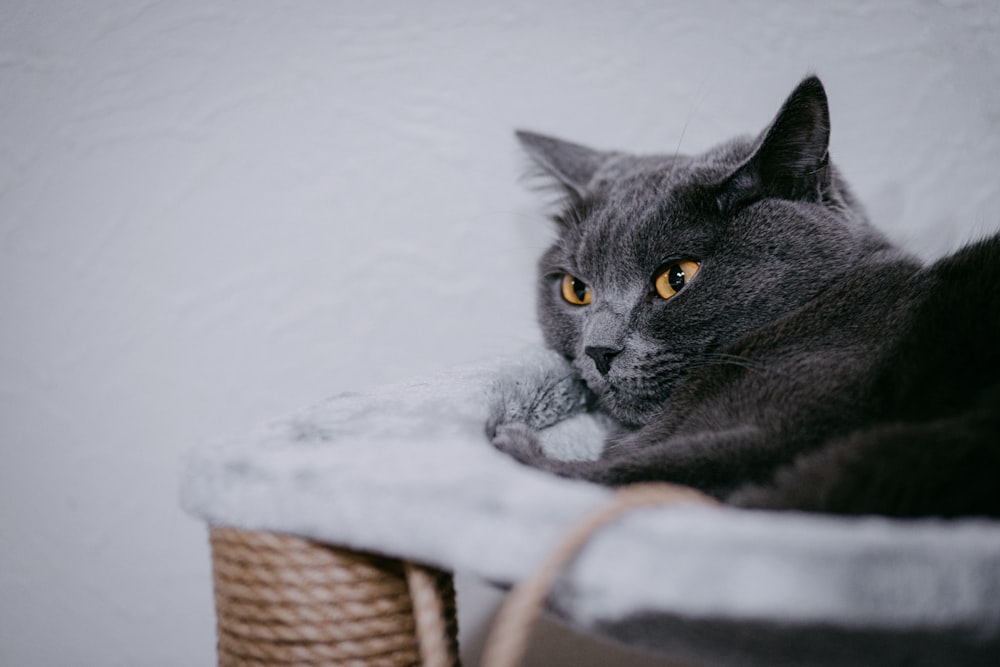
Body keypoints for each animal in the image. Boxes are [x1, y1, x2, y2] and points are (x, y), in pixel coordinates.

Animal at [492, 75, 1000, 520]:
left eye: (676, 277)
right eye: (576, 290)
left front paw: (507, 440)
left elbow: (627, 478)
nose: (598, 349)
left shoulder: (778, 429)